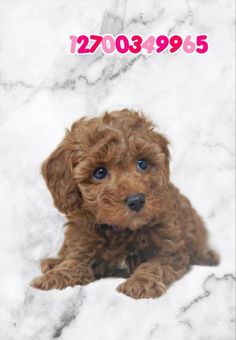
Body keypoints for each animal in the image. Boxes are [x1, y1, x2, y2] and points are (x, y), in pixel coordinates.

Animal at [30, 110, 218, 298]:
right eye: (99, 172)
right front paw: (54, 277)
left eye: (142, 163)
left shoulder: (170, 251)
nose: (136, 200)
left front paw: (141, 282)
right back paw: (52, 262)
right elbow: (73, 262)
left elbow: (154, 265)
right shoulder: (82, 242)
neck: (122, 230)